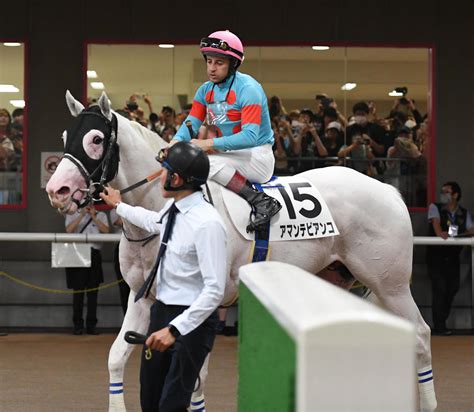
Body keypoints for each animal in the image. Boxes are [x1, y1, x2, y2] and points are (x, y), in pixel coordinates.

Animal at [46, 91, 438, 410]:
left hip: (390, 284)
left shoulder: (205, 301)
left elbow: (194, 377)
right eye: (65, 136)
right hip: (335, 282)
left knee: (420, 333)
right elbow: (116, 357)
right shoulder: (142, 297)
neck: (163, 210)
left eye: (96, 138)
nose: (57, 189)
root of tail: (389, 191)